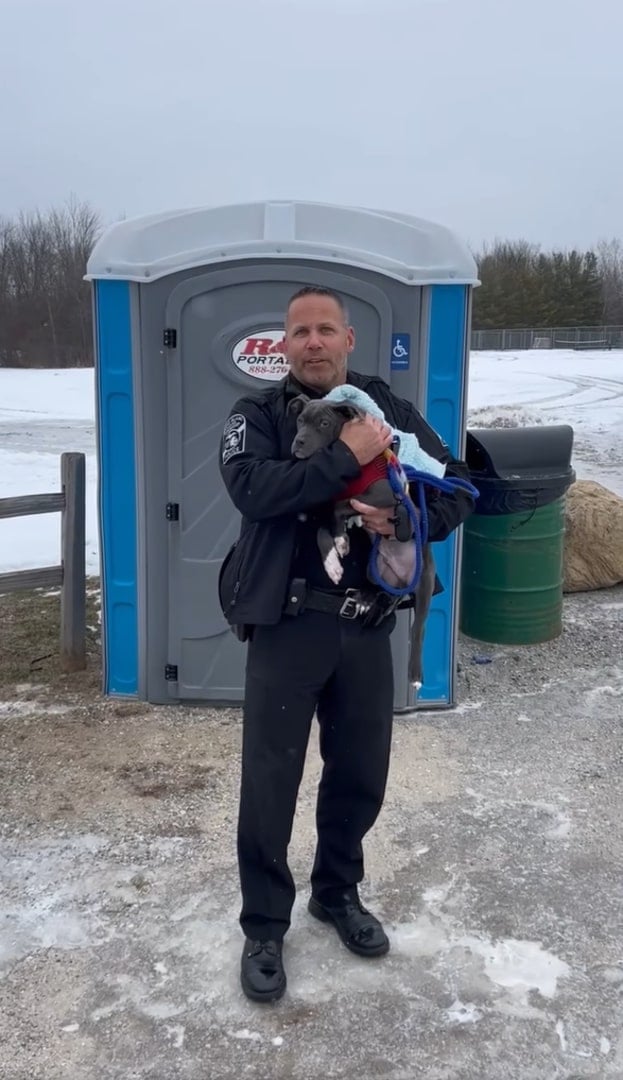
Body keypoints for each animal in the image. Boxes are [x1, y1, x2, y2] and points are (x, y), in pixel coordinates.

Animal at [289, 397, 434, 691]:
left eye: (324, 423)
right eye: (300, 420)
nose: (298, 442)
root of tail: (404, 578)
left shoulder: (381, 493)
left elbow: (342, 506)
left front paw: (341, 539)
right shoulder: (325, 500)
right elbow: (323, 527)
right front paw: (336, 553)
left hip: (424, 580)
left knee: (419, 628)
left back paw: (414, 674)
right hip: (374, 569)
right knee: (390, 593)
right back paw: (371, 600)